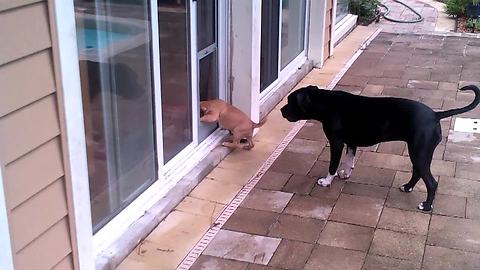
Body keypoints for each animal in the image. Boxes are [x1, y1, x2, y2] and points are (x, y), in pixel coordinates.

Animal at [280, 84, 478, 211]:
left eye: (290, 101)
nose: (281, 110)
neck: (326, 103)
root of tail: (436, 115)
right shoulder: (351, 142)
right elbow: (349, 160)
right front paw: (346, 173)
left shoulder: (336, 144)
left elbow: (333, 166)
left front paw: (327, 181)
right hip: (419, 153)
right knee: (417, 173)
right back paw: (407, 187)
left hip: (419, 154)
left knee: (431, 182)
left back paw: (426, 206)